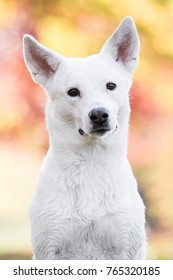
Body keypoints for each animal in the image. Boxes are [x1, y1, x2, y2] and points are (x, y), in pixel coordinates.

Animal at [22, 16, 146, 260]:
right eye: (73, 92)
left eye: (111, 86)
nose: (99, 115)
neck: (91, 162)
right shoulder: (49, 247)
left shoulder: (127, 247)